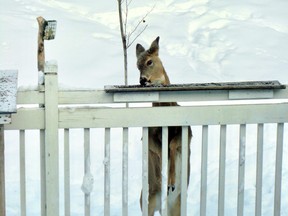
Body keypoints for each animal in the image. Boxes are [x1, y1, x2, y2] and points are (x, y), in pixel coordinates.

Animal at [136, 36, 192, 215]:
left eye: (150, 61)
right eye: (137, 65)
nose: (143, 80)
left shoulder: (187, 133)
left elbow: (173, 144)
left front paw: (172, 182)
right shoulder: (148, 138)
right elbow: (161, 150)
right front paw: (167, 179)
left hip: (178, 206)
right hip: (147, 202)